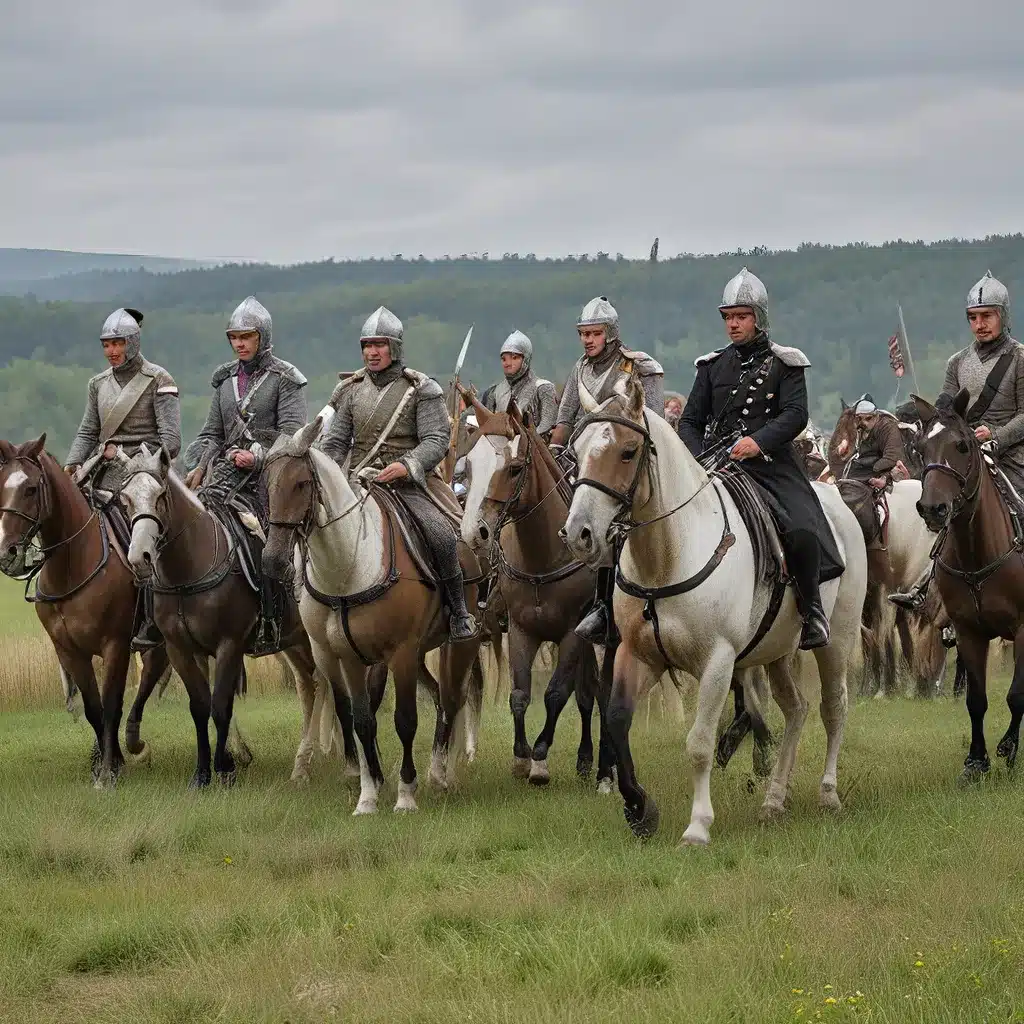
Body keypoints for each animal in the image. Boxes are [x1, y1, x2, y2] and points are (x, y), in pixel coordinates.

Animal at [0, 436, 169, 786]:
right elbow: (94, 709)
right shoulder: (70, 651)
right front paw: (108, 762)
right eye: (0, 484)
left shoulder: (115, 647)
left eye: (31, 489)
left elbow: (112, 705)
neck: (73, 562)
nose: (6, 551)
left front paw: (107, 772)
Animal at [118, 444, 358, 786]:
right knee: (311, 687)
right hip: (295, 644)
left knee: (330, 687)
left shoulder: (228, 645)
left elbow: (220, 706)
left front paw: (223, 768)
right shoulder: (181, 651)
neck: (189, 571)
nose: (140, 558)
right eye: (124, 499)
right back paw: (304, 764)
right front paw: (202, 773)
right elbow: (200, 707)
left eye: (161, 495)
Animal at [565, 380, 868, 843]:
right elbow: (616, 722)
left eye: (628, 452)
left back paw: (828, 794)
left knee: (833, 708)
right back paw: (774, 799)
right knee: (796, 709)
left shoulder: (718, 663)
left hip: (836, 640)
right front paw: (639, 808)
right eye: (577, 451)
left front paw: (697, 826)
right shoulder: (637, 655)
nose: (579, 534)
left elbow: (700, 742)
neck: (669, 554)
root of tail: (838, 502)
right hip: (777, 650)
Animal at [917, 389, 1024, 774]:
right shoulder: (968, 632)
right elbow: (976, 700)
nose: (933, 509)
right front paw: (976, 761)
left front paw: (1008, 747)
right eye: (920, 448)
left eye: (962, 445)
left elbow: (1016, 695)